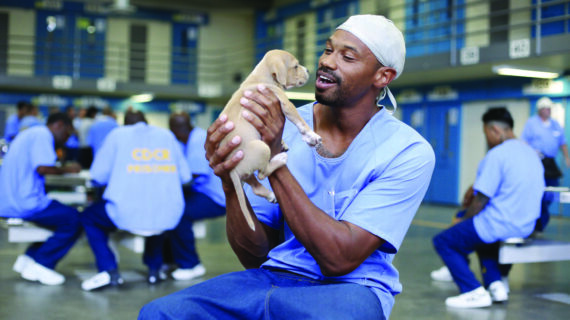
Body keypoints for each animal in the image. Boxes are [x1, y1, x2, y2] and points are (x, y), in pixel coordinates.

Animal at [221, 49, 322, 230]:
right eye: (296, 66)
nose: (309, 70)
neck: (262, 76)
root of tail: (231, 170)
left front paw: (283, 142)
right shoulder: (285, 103)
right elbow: (299, 121)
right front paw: (312, 136)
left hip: (247, 170)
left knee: (255, 185)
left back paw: (269, 194)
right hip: (262, 148)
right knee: (262, 174)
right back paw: (279, 159)